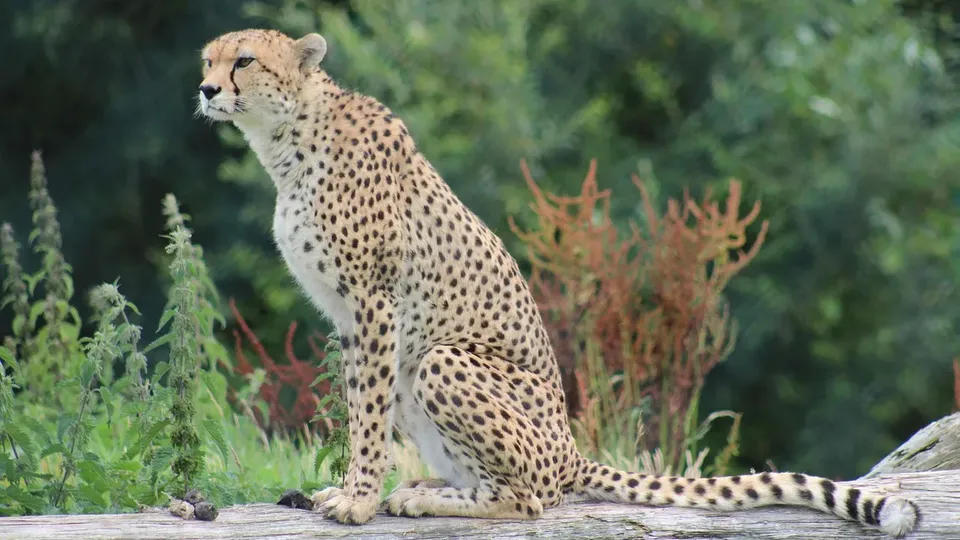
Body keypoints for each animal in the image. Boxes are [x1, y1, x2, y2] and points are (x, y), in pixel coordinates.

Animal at [196, 28, 921, 538]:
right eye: (208, 61)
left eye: (245, 62)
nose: (204, 91)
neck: (287, 137)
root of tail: (572, 452)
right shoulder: (349, 319)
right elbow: (356, 404)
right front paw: (352, 491)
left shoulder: (373, 304)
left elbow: (365, 414)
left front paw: (357, 500)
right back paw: (429, 488)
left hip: (439, 359)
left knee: (533, 500)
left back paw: (428, 497)